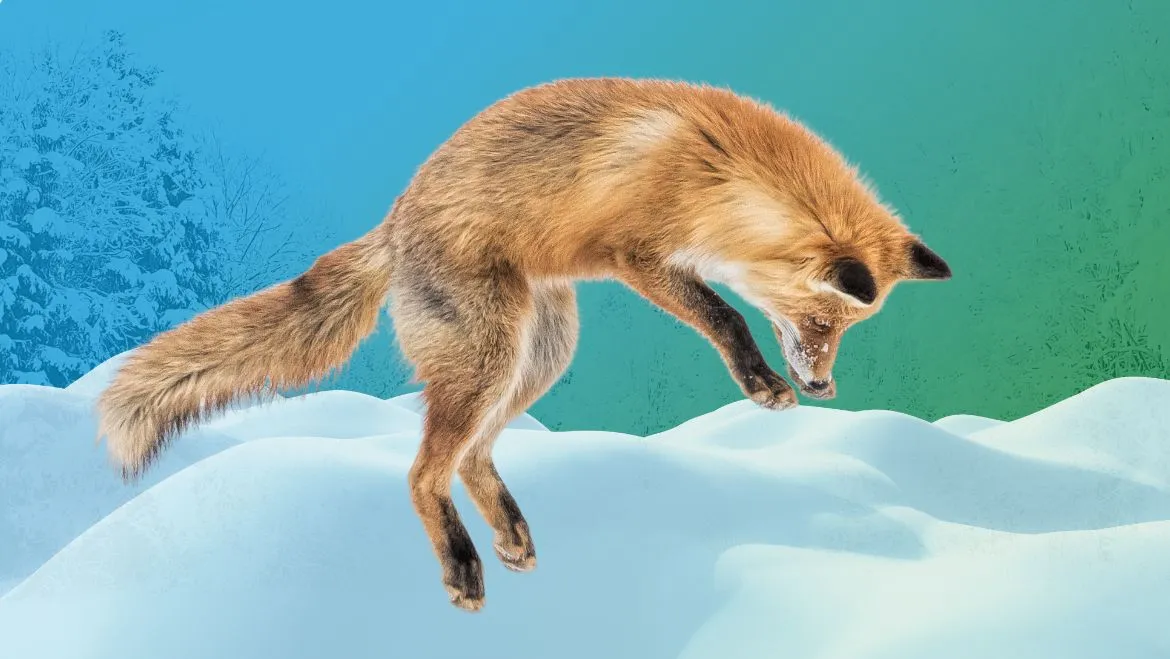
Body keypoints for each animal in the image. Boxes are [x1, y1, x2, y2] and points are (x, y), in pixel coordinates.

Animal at [96, 77, 951, 612]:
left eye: (843, 332)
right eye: (821, 324)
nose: (823, 388)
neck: (715, 169)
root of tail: (394, 220)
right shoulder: (639, 255)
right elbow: (725, 316)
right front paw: (761, 381)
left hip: (541, 352)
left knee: (473, 455)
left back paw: (507, 533)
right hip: (489, 357)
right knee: (422, 471)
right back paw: (462, 564)